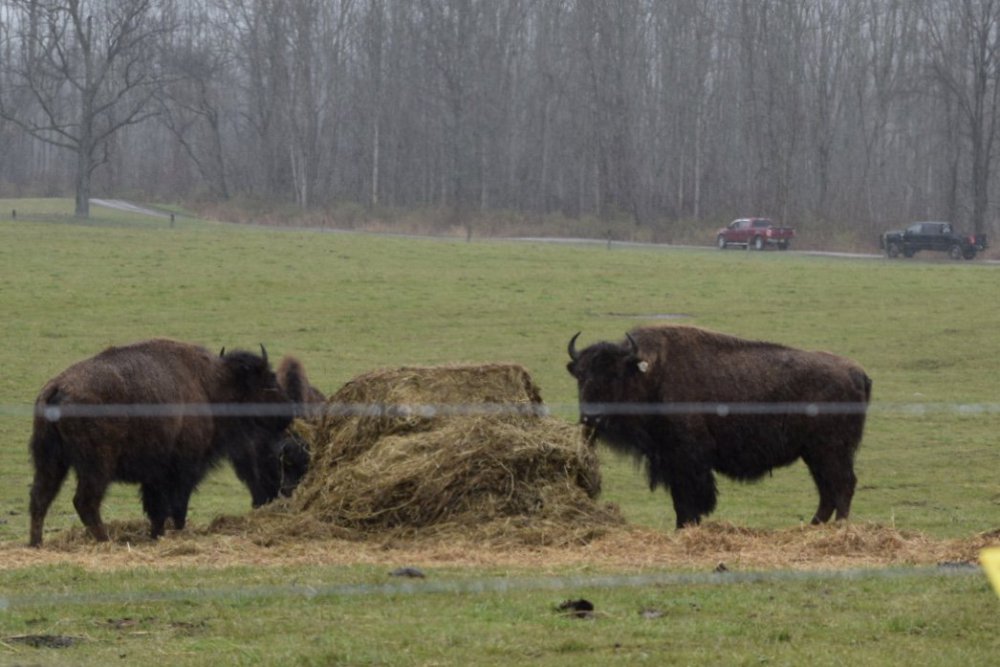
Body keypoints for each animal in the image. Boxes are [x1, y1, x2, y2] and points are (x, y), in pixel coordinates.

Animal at [28, 339, 295, 546]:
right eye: (269, 382)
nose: (288, 413)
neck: (211, 385)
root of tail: (57, 388)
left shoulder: (154, 476)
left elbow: (156, 509)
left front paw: (156, 535)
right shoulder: (184, 470)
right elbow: (177, 506)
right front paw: (175, 532)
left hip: (50, 461)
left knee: (40, 497)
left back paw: (36, 543)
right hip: (97, 466)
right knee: (85, 502)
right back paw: (105, 541)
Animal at [566, 325, 872, 528]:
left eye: (615, 374)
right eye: (580, 375)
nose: (591, 417)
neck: (651, 375)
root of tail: (857, 372)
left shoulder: (687, 458)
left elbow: (688, 497)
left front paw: (686, 527)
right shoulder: (669, 459)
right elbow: (680, 497)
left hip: (830, 451)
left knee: (843, 485)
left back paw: (839, 528)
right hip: (815, 454)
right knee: (828, 490)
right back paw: (814, 526)